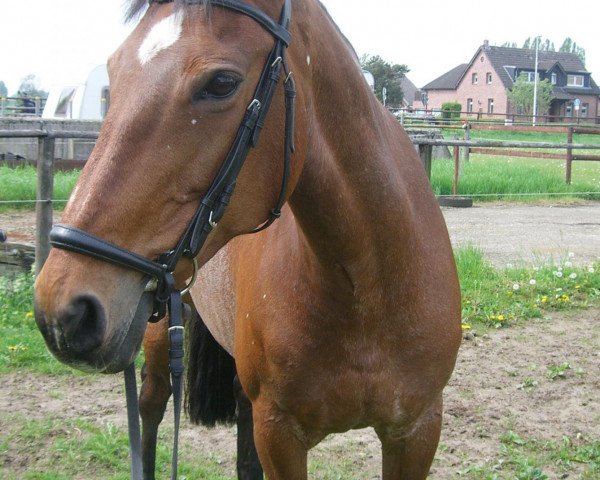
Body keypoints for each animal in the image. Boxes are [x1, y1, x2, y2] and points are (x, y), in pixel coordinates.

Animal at [35, 1, 462, 478]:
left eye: (221, 83)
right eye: (115, 72)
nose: (62, 311)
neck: (367, 290)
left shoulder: (417, 430)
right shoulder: (279, 434)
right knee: (150, 409)